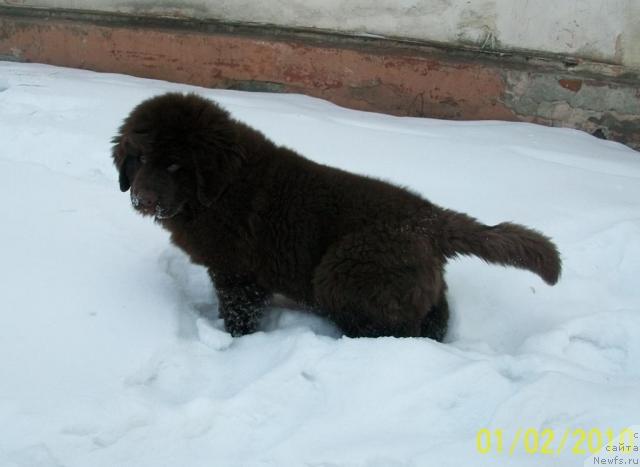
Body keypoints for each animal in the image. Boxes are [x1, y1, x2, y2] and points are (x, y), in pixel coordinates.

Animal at [111, 92, 560, 340]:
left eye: (176, 165)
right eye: (140, 159)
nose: (142, 199)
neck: (219, 190)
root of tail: (431, 220)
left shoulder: (238, 273)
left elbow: (240, 314)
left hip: (344, 271)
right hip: (415, 282)